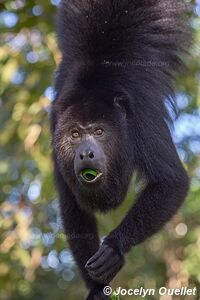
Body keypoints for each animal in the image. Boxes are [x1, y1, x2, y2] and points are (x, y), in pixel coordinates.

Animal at [50, 0, 190, 300]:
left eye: (99, 132)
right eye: (75, 134)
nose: (86, 153)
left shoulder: (141, 119)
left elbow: (171, 182)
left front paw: (114, 247)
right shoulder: (54, 122)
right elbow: (71, 202)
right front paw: (95, 286)